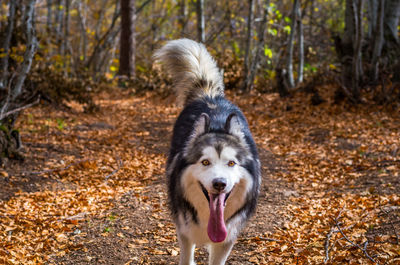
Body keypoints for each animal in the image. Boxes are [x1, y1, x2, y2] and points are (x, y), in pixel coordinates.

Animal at [155, 38, 260, 264]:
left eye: (231, 163)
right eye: (205, 162)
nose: (219, 184)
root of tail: (209, 95)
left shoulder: (226, 239)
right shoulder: (185, 232)